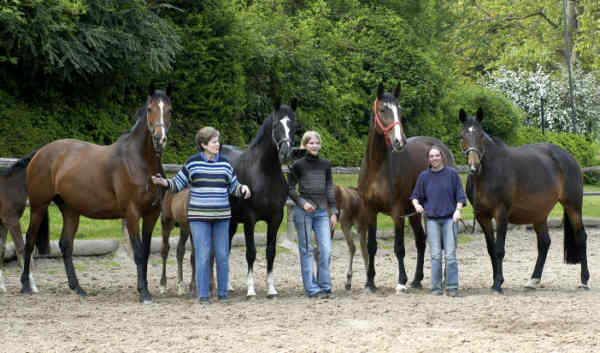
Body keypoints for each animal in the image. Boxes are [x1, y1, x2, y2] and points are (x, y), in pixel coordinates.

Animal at [0, 151, 49, 292]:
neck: (11, 187)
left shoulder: (3, 223)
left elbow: (2, 249)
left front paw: (1, 286)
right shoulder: (12, 221)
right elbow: (22, 248)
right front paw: (31, 286)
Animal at [21, 84, 171, 302]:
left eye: (170, 110)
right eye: (150, 109)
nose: (160, 139)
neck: (141, 162)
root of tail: (40, 153)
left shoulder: (151, 214)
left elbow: (146, 251)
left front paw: (145, 289)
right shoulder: (132, 214)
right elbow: (138, 252)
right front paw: (143, 292)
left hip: (70, 210)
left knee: (66, 245)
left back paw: (78, 288)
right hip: (38, 206)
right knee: (30, 240)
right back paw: (25, 285)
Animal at [220, 97, 298, 296]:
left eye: (294, 125)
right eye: (277, 125)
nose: (285, 153)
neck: (265, 172)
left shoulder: (276, 218)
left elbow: (271, 252)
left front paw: (271, 289)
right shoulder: (250, 220)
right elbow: (251, 253)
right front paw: (251, 290)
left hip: (232, 222)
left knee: (226, 247)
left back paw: (228, 285)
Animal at [356, 82, 454, 292]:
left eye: (399, 110)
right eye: (383, 109)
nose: (399, 141)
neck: (377, 168)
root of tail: (442, 147)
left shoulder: (397, 212)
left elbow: (399, 248)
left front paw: (401, 281)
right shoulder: (370, 211)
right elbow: (371, 246)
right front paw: (370, 282)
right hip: (416, 213)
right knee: (421, 241)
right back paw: (417, 280)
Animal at [462, 107, 588, 292]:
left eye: (480, 136)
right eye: (462, 136)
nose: (473, 167)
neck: (488, 173)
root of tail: (569, 157)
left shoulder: (501, 213)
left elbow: (499, 249)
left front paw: (498, 283)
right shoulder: (481, 216)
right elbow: (491, 249)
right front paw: (494, 281)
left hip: (573, 206)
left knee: (581, 237)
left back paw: (584, 280)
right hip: (539, 214)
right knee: (544, 243)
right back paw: (533, 280)